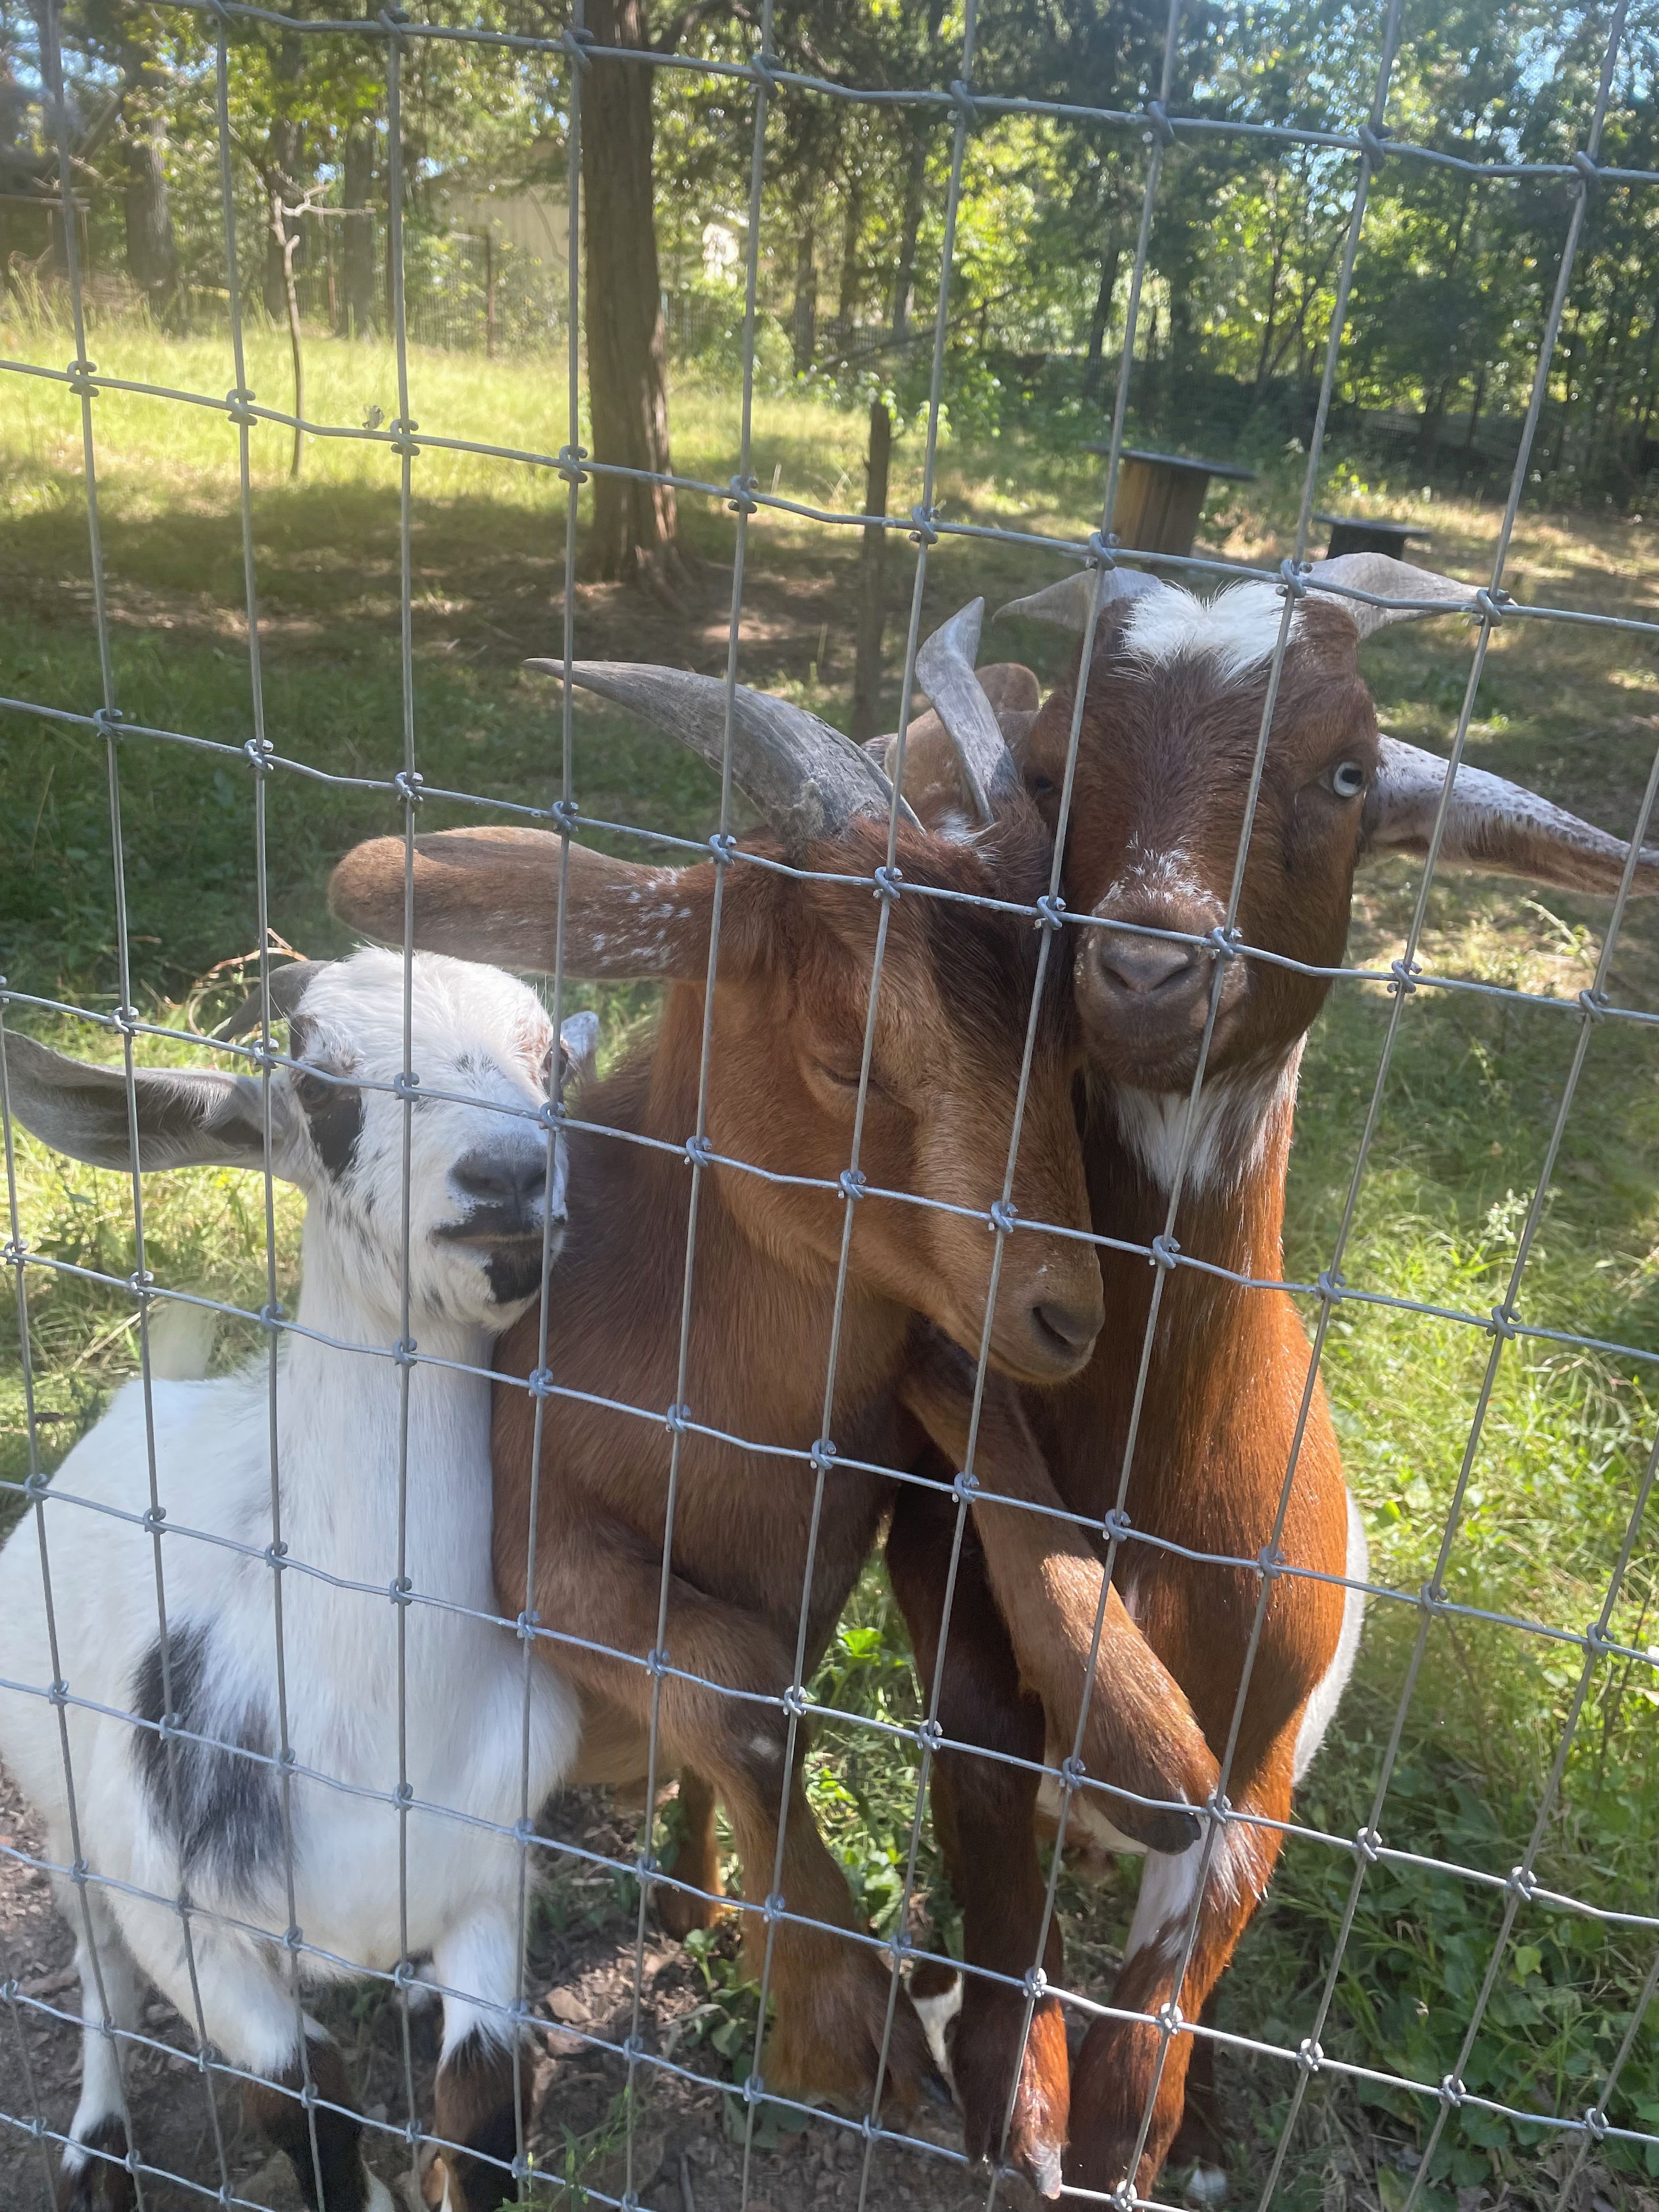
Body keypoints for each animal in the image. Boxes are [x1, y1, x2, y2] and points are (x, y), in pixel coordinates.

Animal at [0, 950, 597, 2212]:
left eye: (554, 1068)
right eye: (324, 1084)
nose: (508, 1177)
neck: (374, 1725)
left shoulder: (491, 1876)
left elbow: (483, 2117)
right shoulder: (187, 1926)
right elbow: (307, 2111)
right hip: (58, 1807)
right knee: (94, 1971)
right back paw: (96, 2148)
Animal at [328, 606, 1222, 2115]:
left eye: (1067, 1041)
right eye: (847, 1061)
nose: (1069, 1316)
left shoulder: (871, 1462)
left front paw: (1150, 1749)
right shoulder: (532, 1535)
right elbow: (734, 1679)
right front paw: (835, 2006)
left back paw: (689, 1891)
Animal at [882, 554, 1659, 2199]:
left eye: (1347, 773)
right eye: (1048, 776)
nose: (1146, 963)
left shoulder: (1260, 1773)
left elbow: (1144, 2066)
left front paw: (1133, 2134)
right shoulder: (968, 1659)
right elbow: (1005, 1901)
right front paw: (1004, 2087)